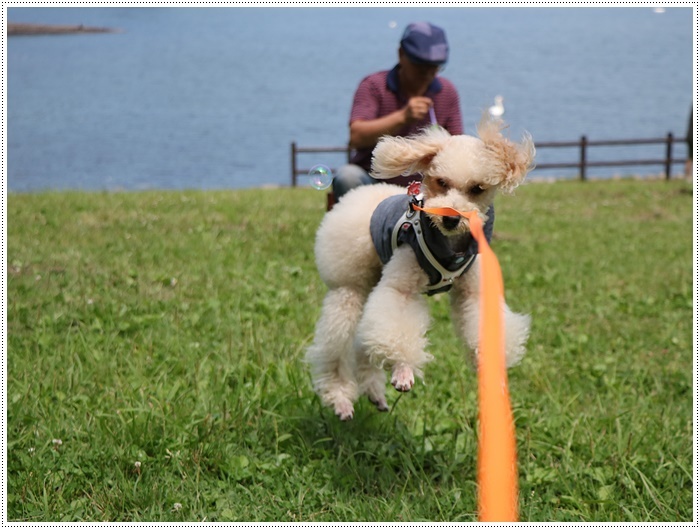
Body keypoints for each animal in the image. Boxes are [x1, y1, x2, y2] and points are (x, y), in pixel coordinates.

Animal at [306, 116, 536, 420]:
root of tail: (358, 193)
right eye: (440, 182)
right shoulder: (402, 286)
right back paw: (341, 398)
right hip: (348, 285)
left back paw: (374, 391)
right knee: (335, 342)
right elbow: (398, 324)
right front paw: (404, 372)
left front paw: (491, 371)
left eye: (477, 188)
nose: (451, 219)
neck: (450, 246)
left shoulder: (474, 292)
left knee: (362, 341)